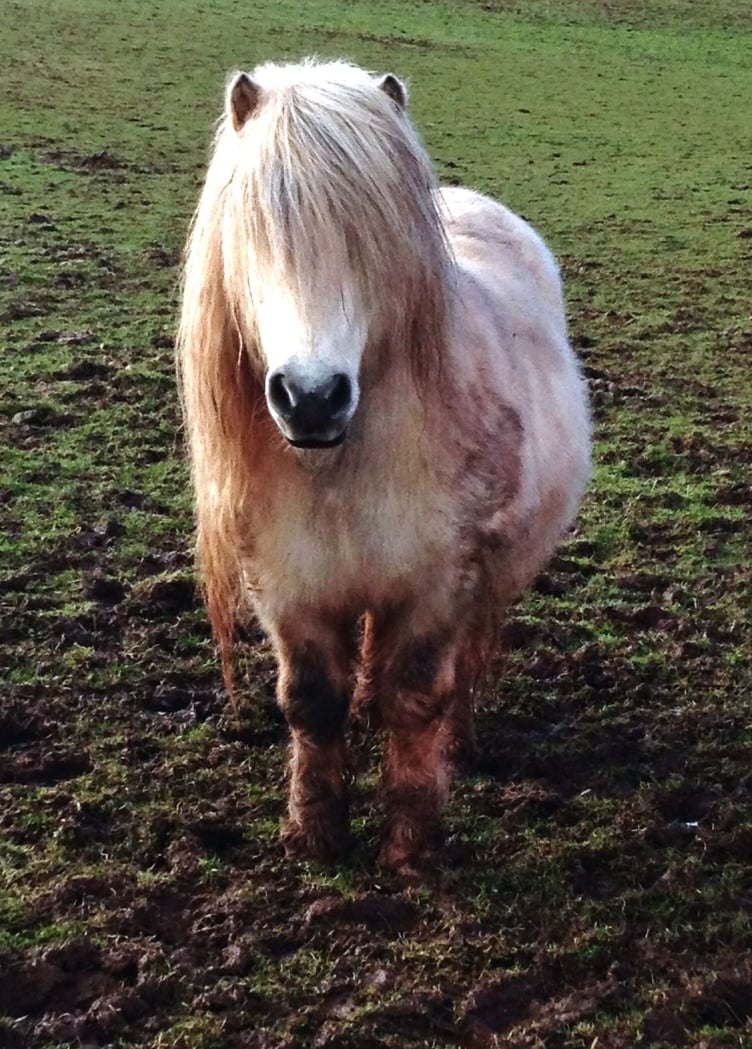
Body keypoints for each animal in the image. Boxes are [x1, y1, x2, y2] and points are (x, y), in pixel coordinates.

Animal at [176, 58, 591, 873]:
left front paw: (411, 846)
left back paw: (458, 742)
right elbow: (311, 702)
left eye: (370, 242)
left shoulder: (438, 583)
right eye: (257, 232)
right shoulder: (291, 587)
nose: (311, 398)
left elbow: (419, 694)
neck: (341, 470)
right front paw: (314, 836)